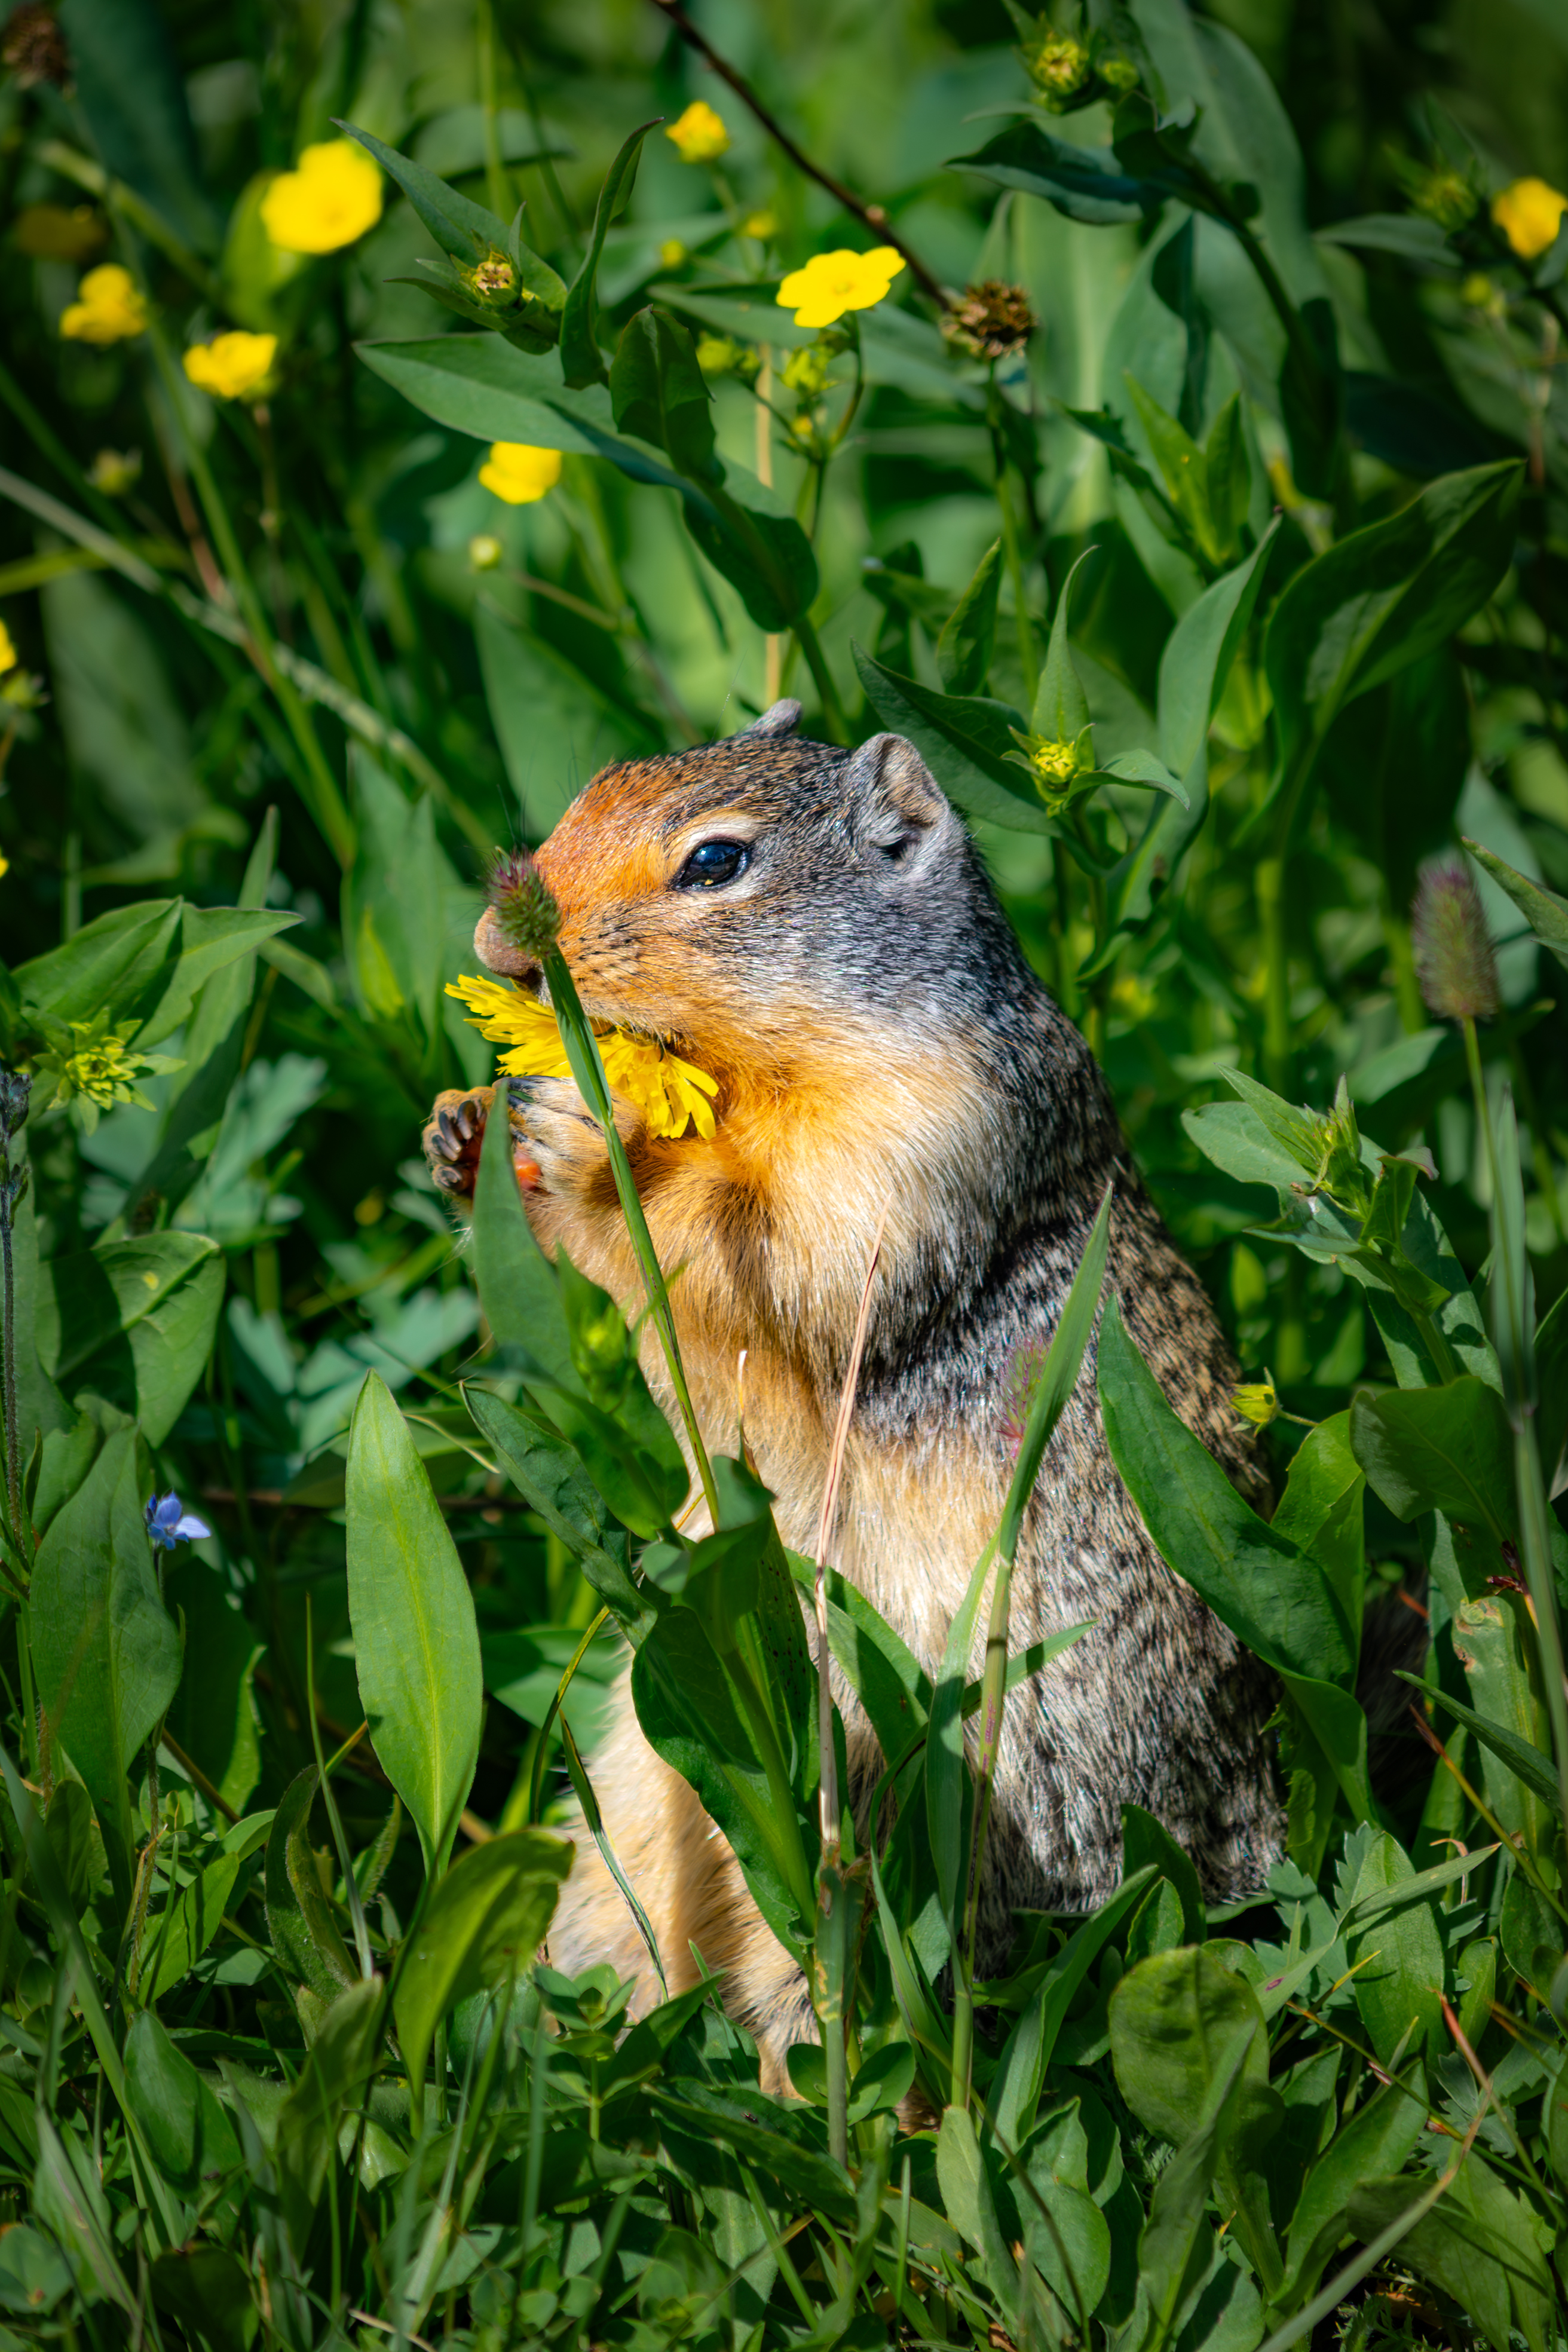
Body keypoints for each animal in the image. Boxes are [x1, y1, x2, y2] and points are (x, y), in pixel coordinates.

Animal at [424, 700, 1282, 2084]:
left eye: (715, 862)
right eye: (603, 779)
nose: (499, 950)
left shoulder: (912, 1141)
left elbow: (783, 1258)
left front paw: (583, 1140)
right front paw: (464, 1128)